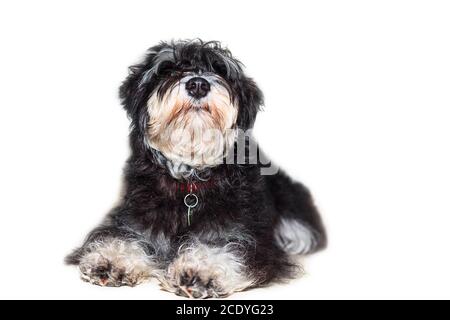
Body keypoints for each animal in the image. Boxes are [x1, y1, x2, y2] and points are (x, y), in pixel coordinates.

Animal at [66, 39, 326, 298]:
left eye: (221, 70)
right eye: (168, 69)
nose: (198, 84)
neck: (189, 183)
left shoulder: (248, 238)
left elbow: (227, 248)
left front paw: (201, 271)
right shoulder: (131, 220)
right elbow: (123, 237)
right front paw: (111, 260)